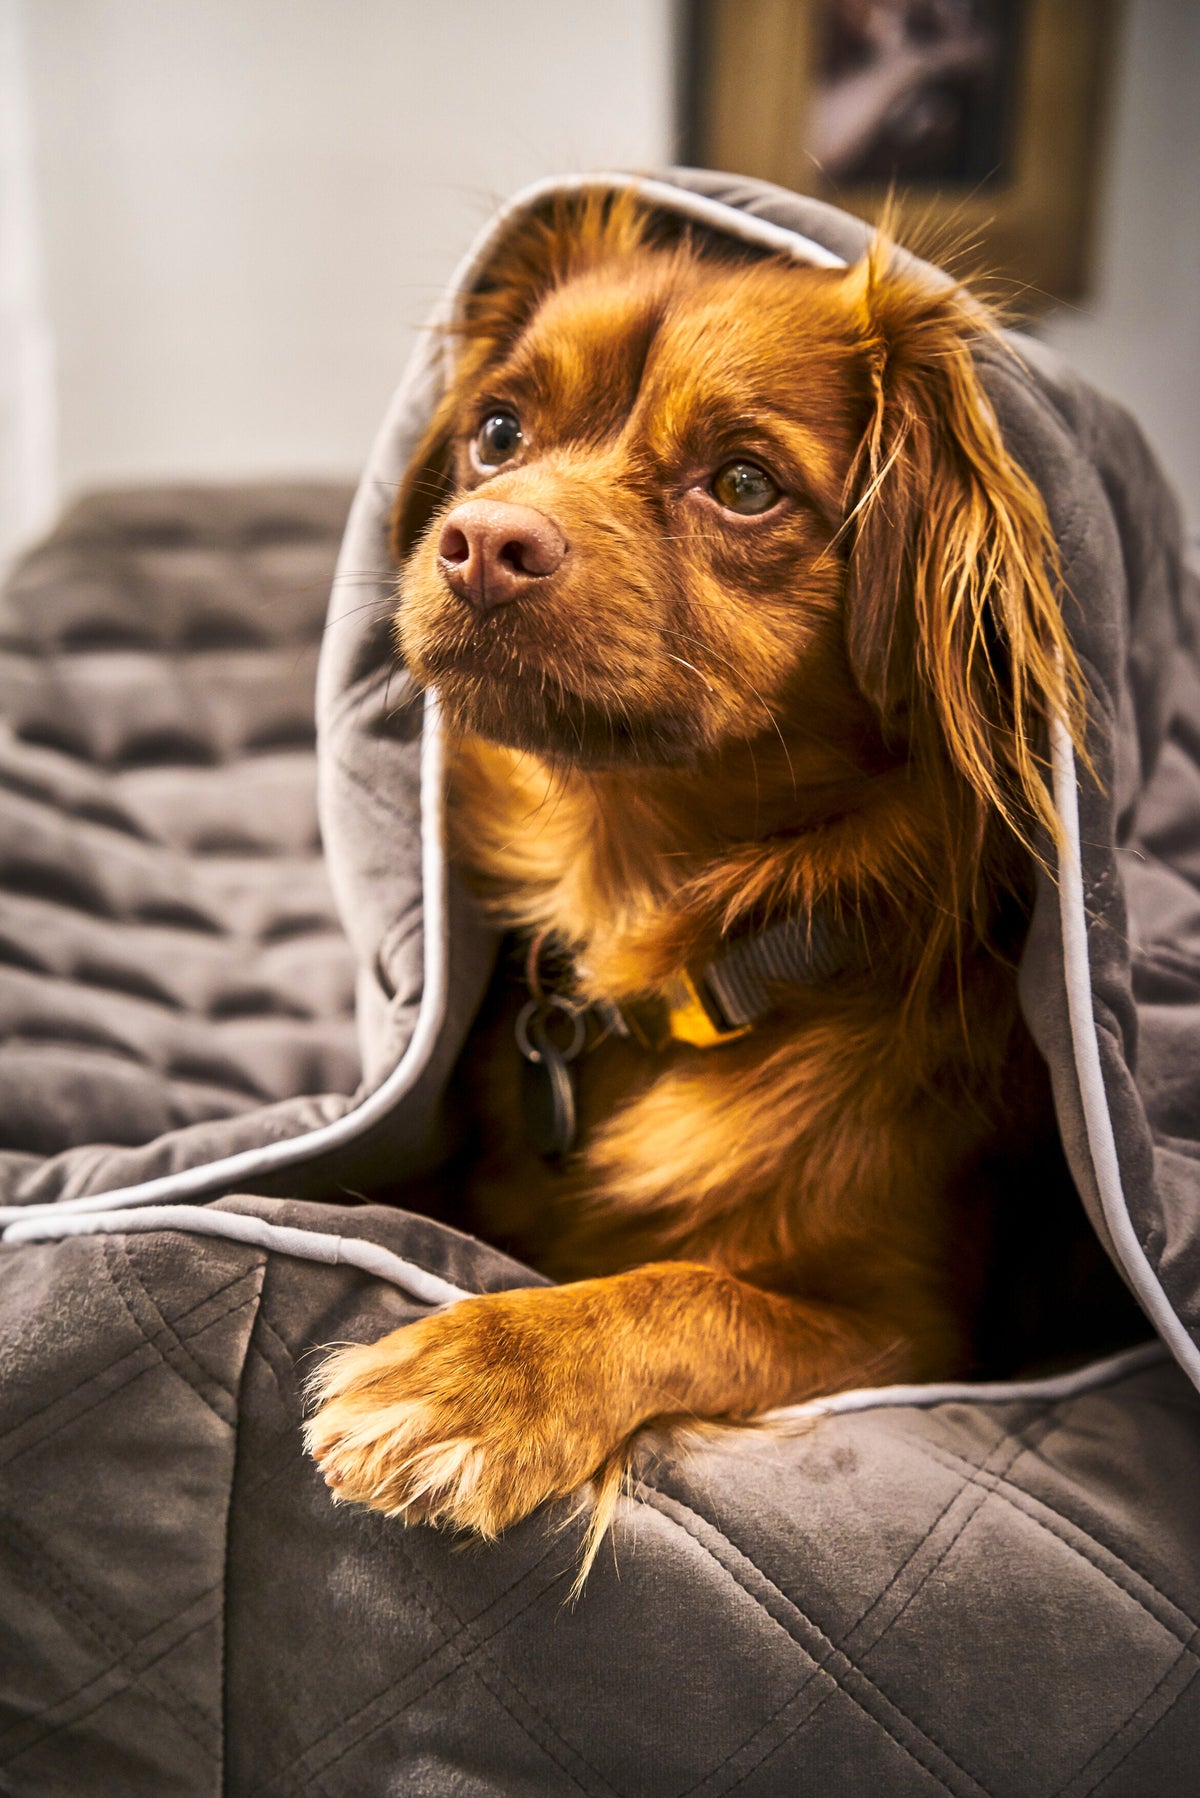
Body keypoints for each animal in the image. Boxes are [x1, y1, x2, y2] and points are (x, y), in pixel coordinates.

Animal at [302, 193, 1086, 1560]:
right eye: (496, 433)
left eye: (744, 484)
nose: (481, 542)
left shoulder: (912, 1339)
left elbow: (688, 1293)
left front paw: (481, 1376)